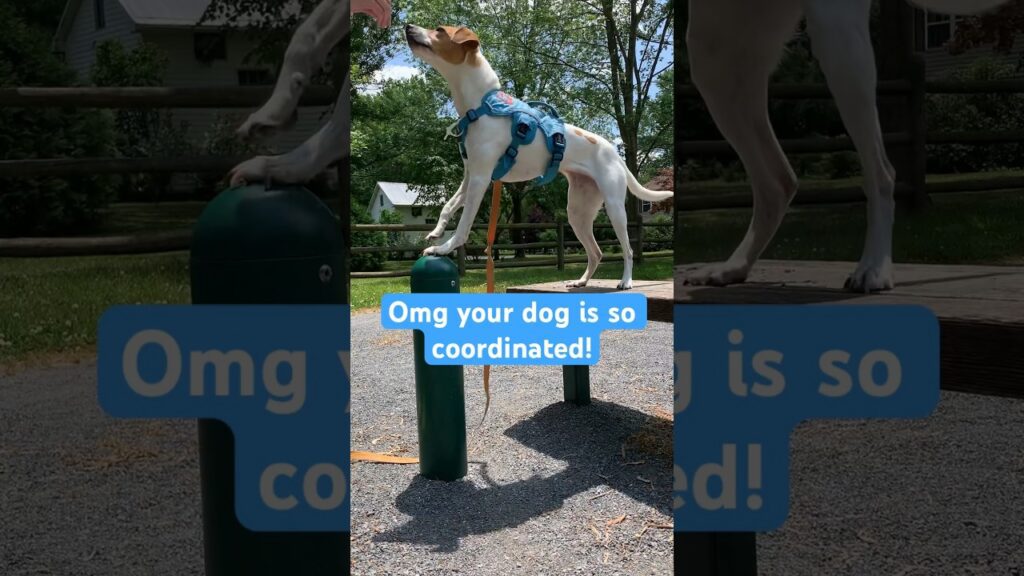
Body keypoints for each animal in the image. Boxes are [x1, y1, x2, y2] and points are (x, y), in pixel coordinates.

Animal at [403, 24, 675, 289]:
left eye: (439, 30)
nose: (407, 26)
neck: (481, 106)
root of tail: (614, 153)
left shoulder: (481, 179)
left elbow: (463, 225)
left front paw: (442, 248)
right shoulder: (470, 176)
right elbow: (448, 206)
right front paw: (437, 231)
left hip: (615, 208)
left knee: (627, 250)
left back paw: (626, 280)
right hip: (578, 213)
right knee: (596, 252)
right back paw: (582, 281)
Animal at [684, 0, 1011, 289]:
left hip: (835, 37)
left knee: (881, 173)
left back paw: (874, 267)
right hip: (718, 53)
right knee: (777, 183)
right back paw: (736, 266)